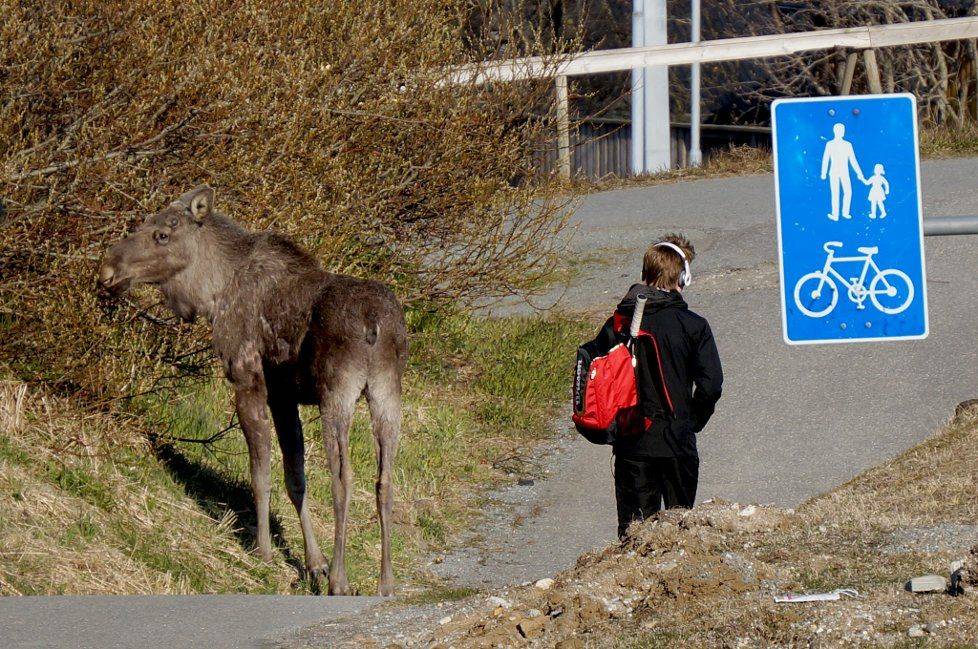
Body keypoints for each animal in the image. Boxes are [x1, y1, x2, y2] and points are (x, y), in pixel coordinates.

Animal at [98, 185, 404, 596]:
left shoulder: (247, 378)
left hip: (337, 392)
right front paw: (313, 563)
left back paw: (340, 581)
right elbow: (296, 478)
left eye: (162, 234)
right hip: (387, 392)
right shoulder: (283, 396)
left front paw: (264, 552)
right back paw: (386, 582)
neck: (213, 293)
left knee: (344, 478)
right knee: (384, 480)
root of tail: (376, 325)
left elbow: (261, 475)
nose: (108, 270)